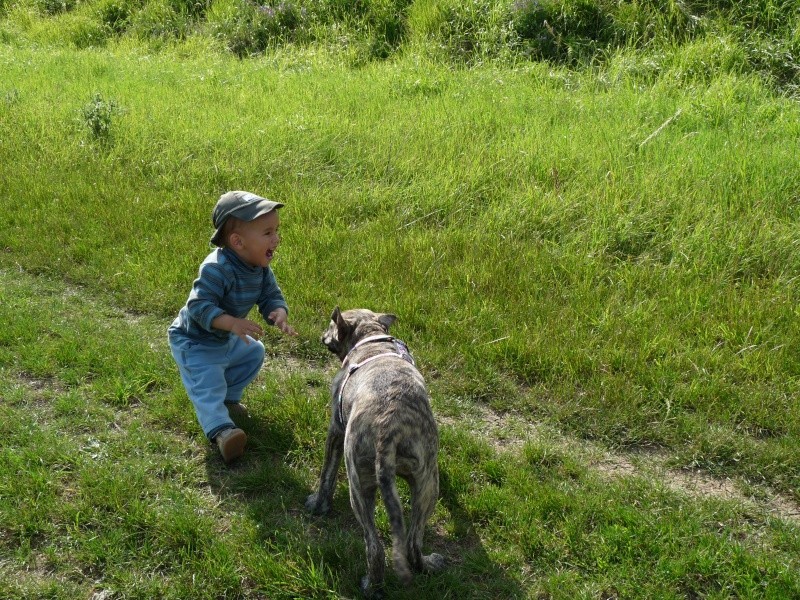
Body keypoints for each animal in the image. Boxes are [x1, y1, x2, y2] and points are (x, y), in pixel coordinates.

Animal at [304, 308, 444, 596]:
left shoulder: (335, 430)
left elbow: (326, 475)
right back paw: (428, 564)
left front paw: (317, 504)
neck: (371, 339)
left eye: (331, 324)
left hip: (359, 487)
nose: (322, 335)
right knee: (413, 544)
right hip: (427, 484)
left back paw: (370, 586)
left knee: (375, 548)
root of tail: (388, 433)